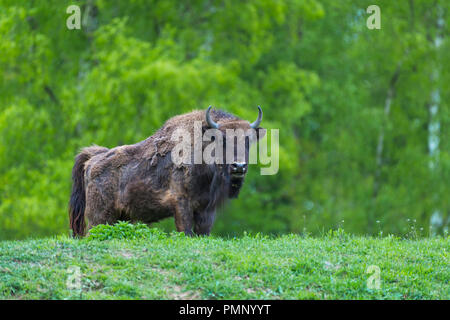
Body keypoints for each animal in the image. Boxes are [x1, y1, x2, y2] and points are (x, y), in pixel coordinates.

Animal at [69, 106, 266, 236]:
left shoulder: (207, 209)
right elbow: (185, 231)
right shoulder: (181, 203)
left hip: (122, 216)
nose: (238, 166)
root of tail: (93, 161)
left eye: (248, 140)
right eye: (222, 139)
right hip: (100, 217)